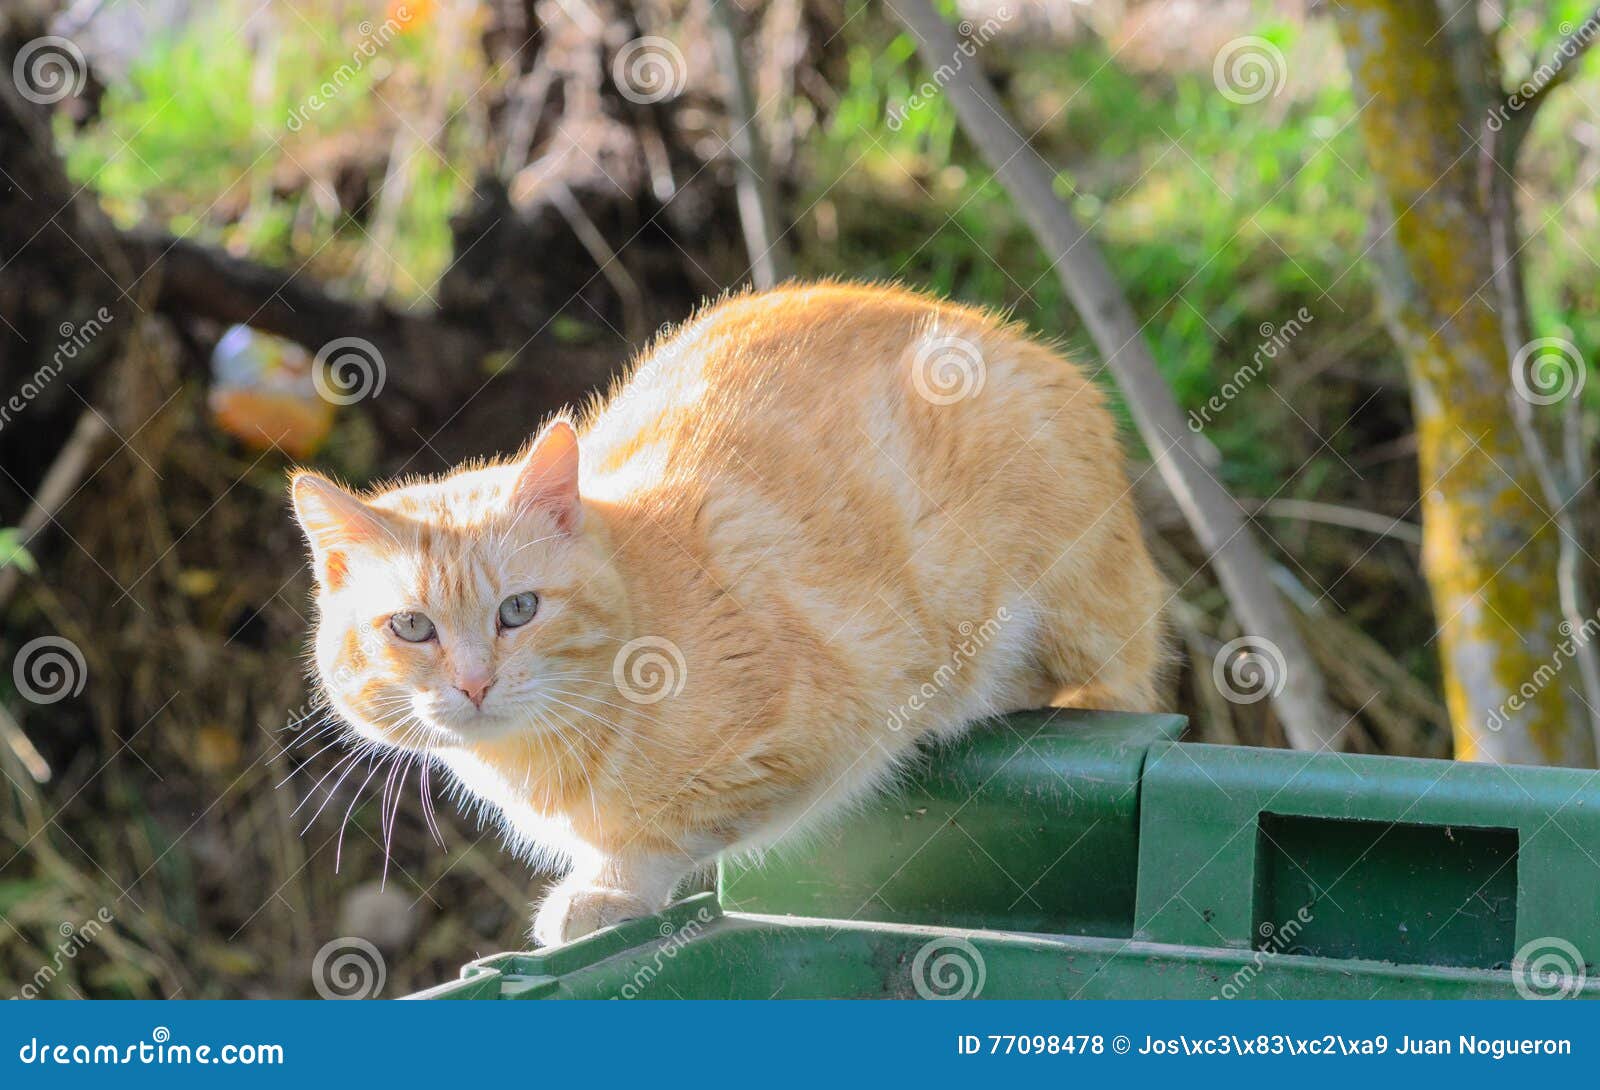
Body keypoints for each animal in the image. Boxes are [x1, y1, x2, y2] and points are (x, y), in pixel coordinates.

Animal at [291, 283, 1164, 941]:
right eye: (412, 627)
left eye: (519, 610)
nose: (473, 684)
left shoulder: (819, 732)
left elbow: (665, 833)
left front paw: (605, 890)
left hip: (1070, 613)